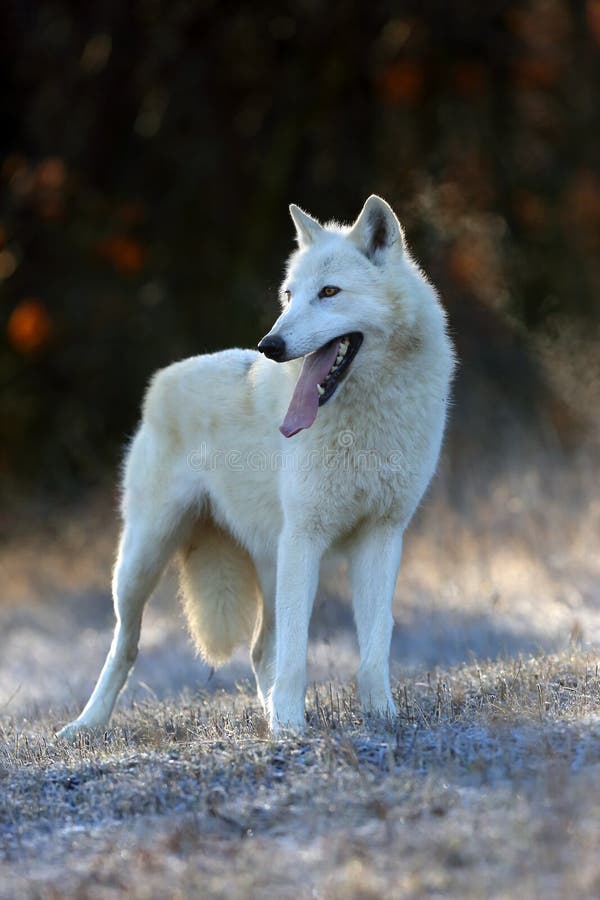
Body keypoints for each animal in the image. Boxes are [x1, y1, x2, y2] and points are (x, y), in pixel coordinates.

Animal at [58, 197, 454, 740]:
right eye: (289, 296)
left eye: (329, 293)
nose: (271, 345)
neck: (366, 418)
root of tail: (163, 378)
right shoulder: (305, 538)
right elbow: (296, 650)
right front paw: (290, 727)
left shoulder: (382, 537)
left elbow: (375, 645)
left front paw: (383, 719)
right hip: (142, 560)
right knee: (126, 645)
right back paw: (86, 724)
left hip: (266, 563)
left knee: (258, 648)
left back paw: (266, 714)